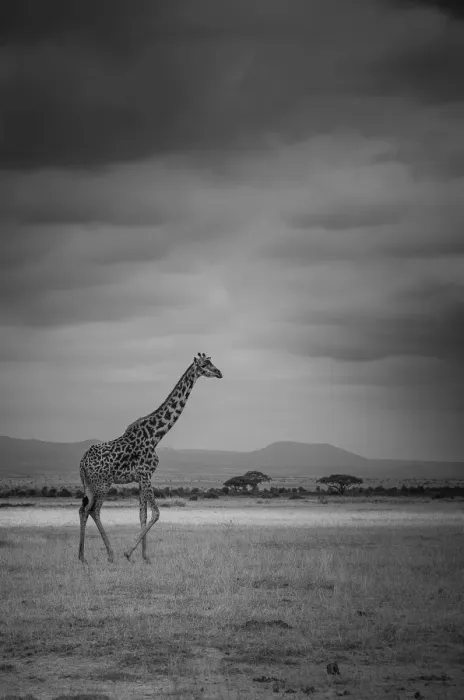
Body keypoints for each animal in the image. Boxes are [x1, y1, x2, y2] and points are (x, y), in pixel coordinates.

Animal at [78, 352, 223, 563]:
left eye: (211, 362)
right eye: (204, 365)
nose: (219, 372)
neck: (156, 435)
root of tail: (82, 462)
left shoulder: (141, 478)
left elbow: (143, 515)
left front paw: (144, 556)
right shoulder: (146, 474)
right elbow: (156, 512)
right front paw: (129, 553)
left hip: (88, 484)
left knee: (83, 510)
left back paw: (81, 556)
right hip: (102, 483)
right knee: (94, 510)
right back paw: (111, 554)